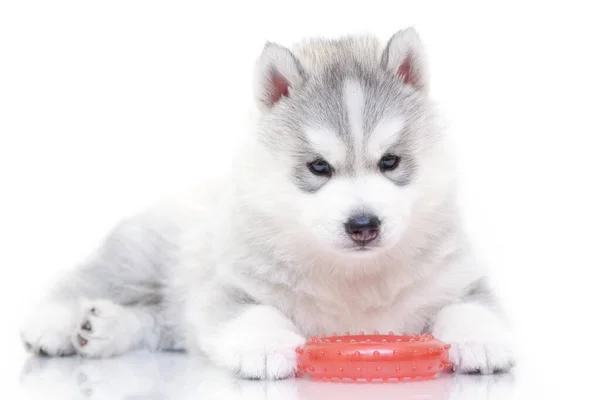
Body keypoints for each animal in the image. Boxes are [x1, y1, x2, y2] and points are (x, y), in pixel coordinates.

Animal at [19, 27, 516, 378]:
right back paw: (56, 325)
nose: (363, 224)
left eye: (390, 161)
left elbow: (470, 307)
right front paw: (265, 347)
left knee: (160, 322)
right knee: (85, 281)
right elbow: (252, 312)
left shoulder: (459, 278)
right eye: (318, 167)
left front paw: (482, 340)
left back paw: (102, 329)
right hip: (138, 260)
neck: (354, 279)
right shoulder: (230, 285)